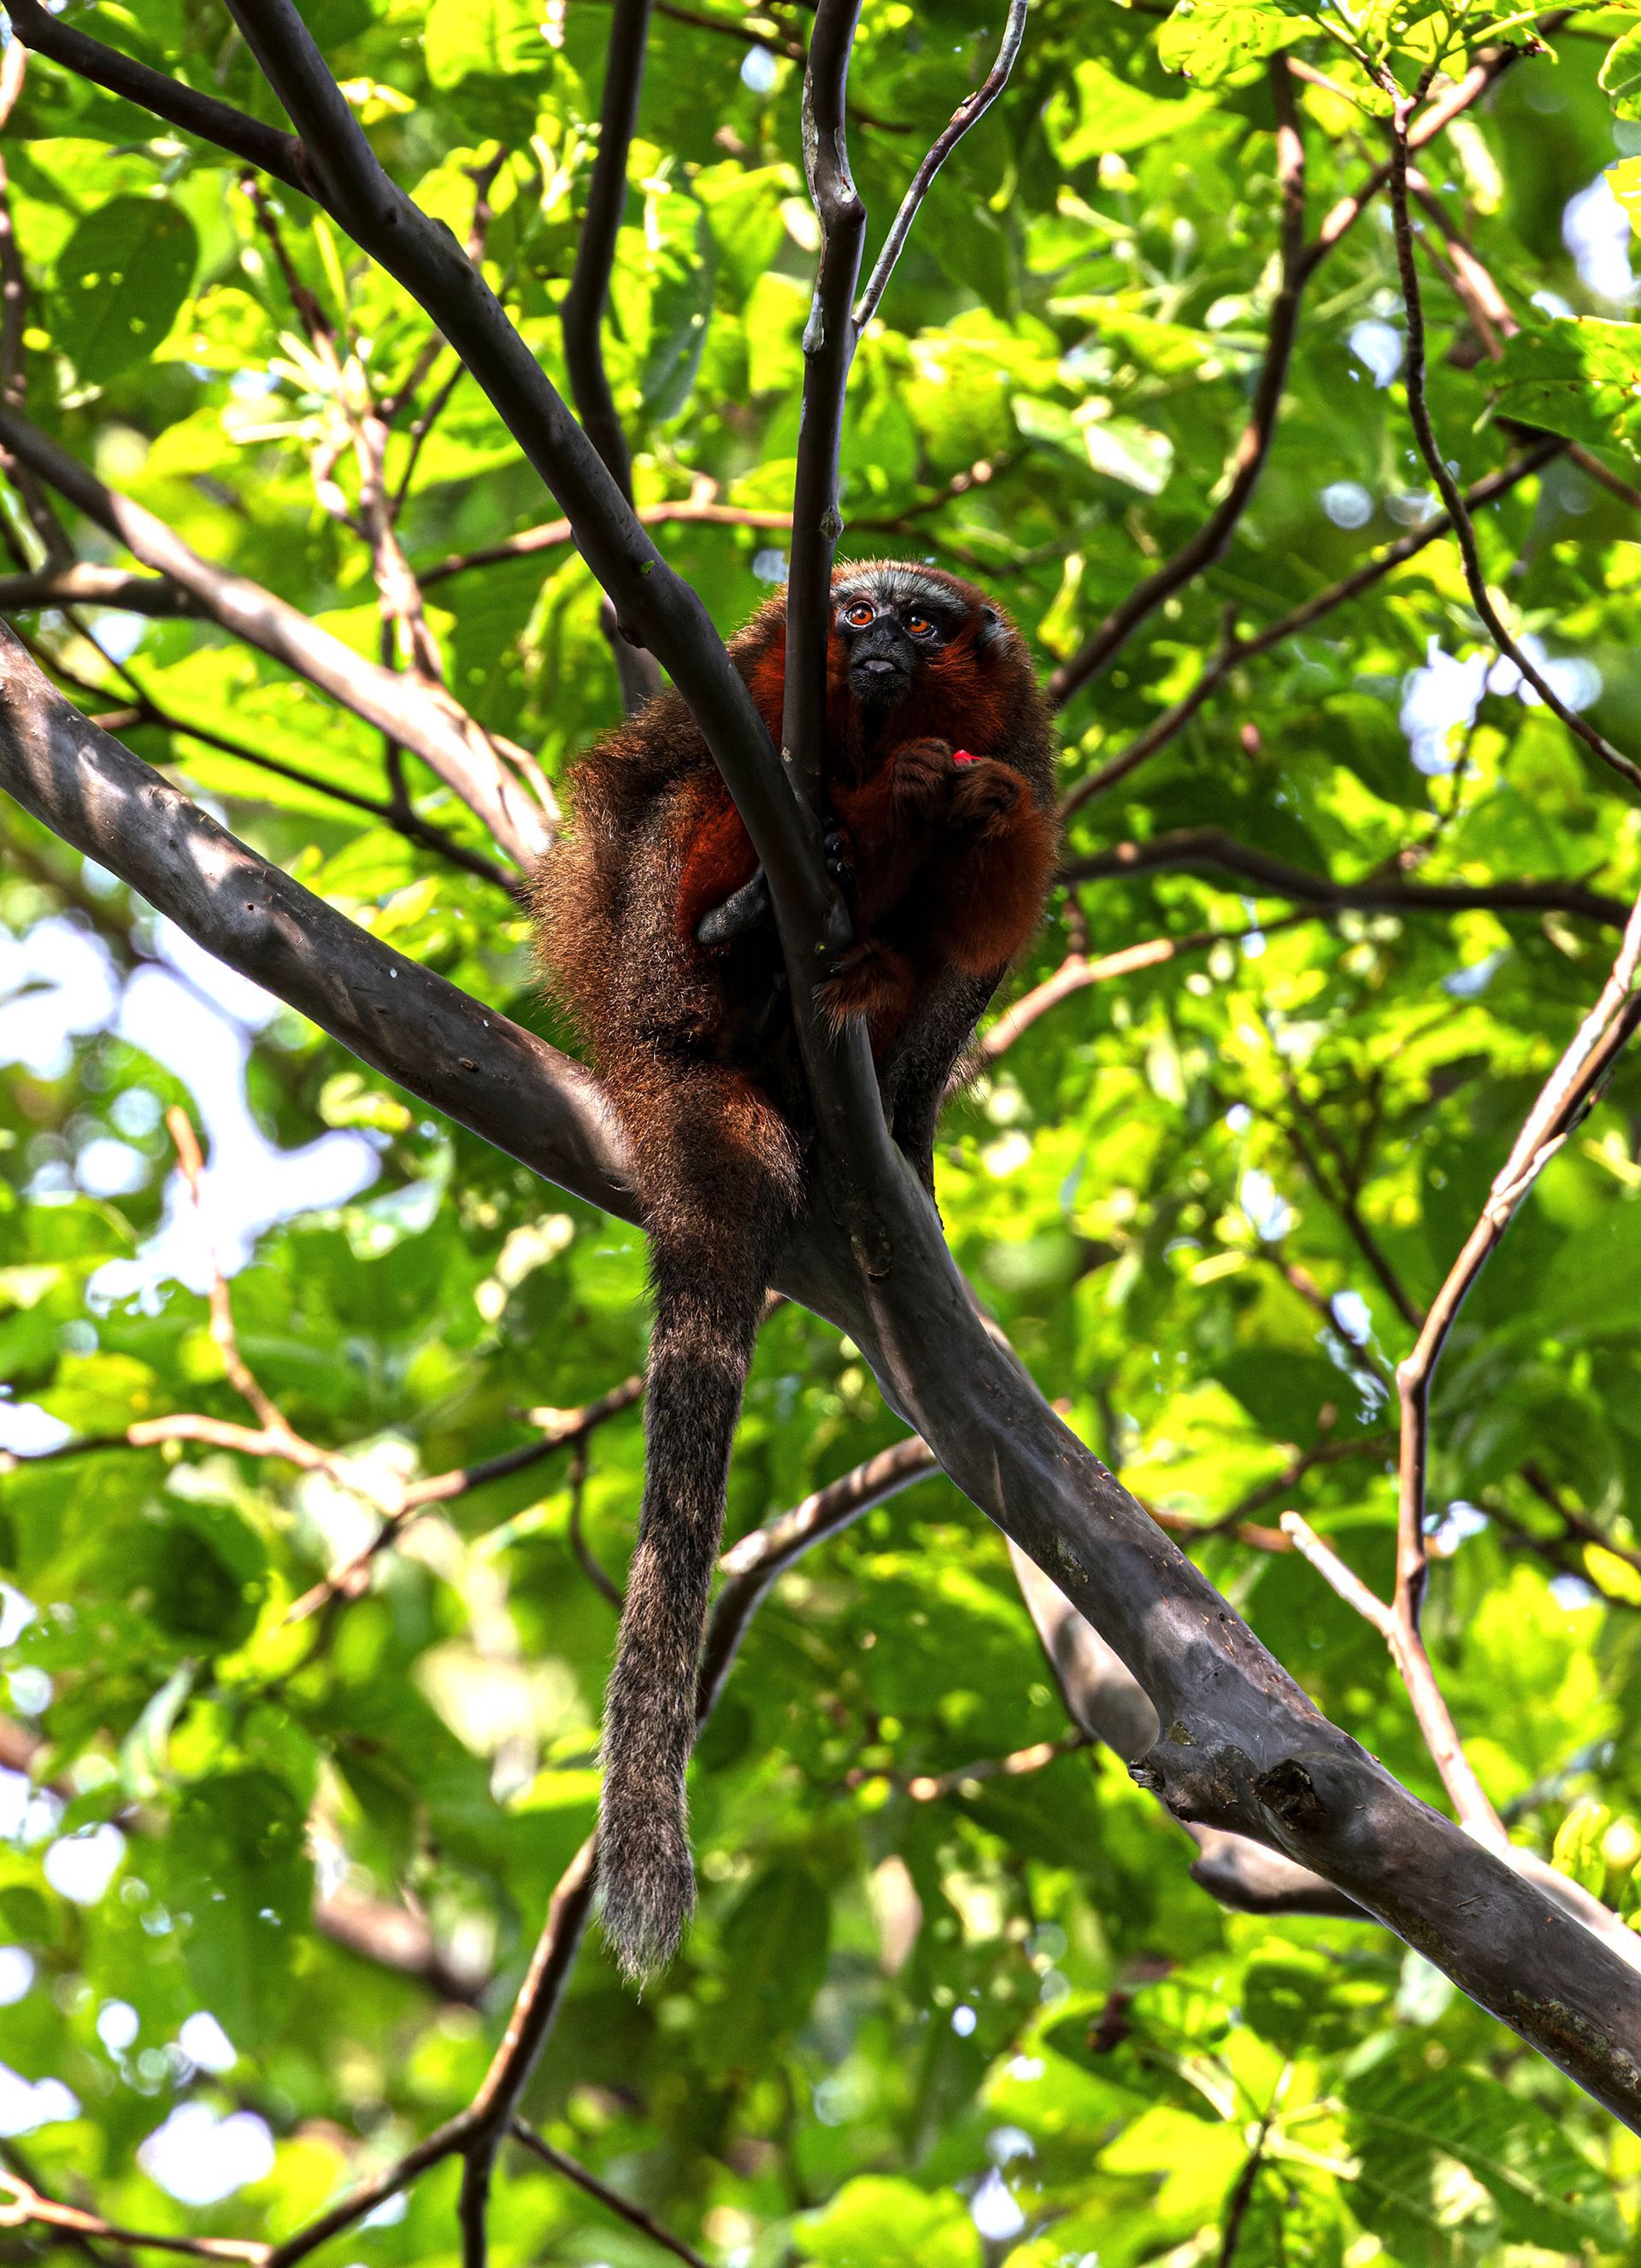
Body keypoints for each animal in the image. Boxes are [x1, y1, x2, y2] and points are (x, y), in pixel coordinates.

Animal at [533, 560, 1056, 1983]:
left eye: (925, 624)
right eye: (859, 612)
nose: (878, 649)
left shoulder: (1021, 733)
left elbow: (1003, 889)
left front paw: (960, 809)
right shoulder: (748, 666)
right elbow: (644, 781)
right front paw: (846, 821)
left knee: (933, 975)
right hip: (645, 987)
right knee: (688, 819)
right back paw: (742, 917)